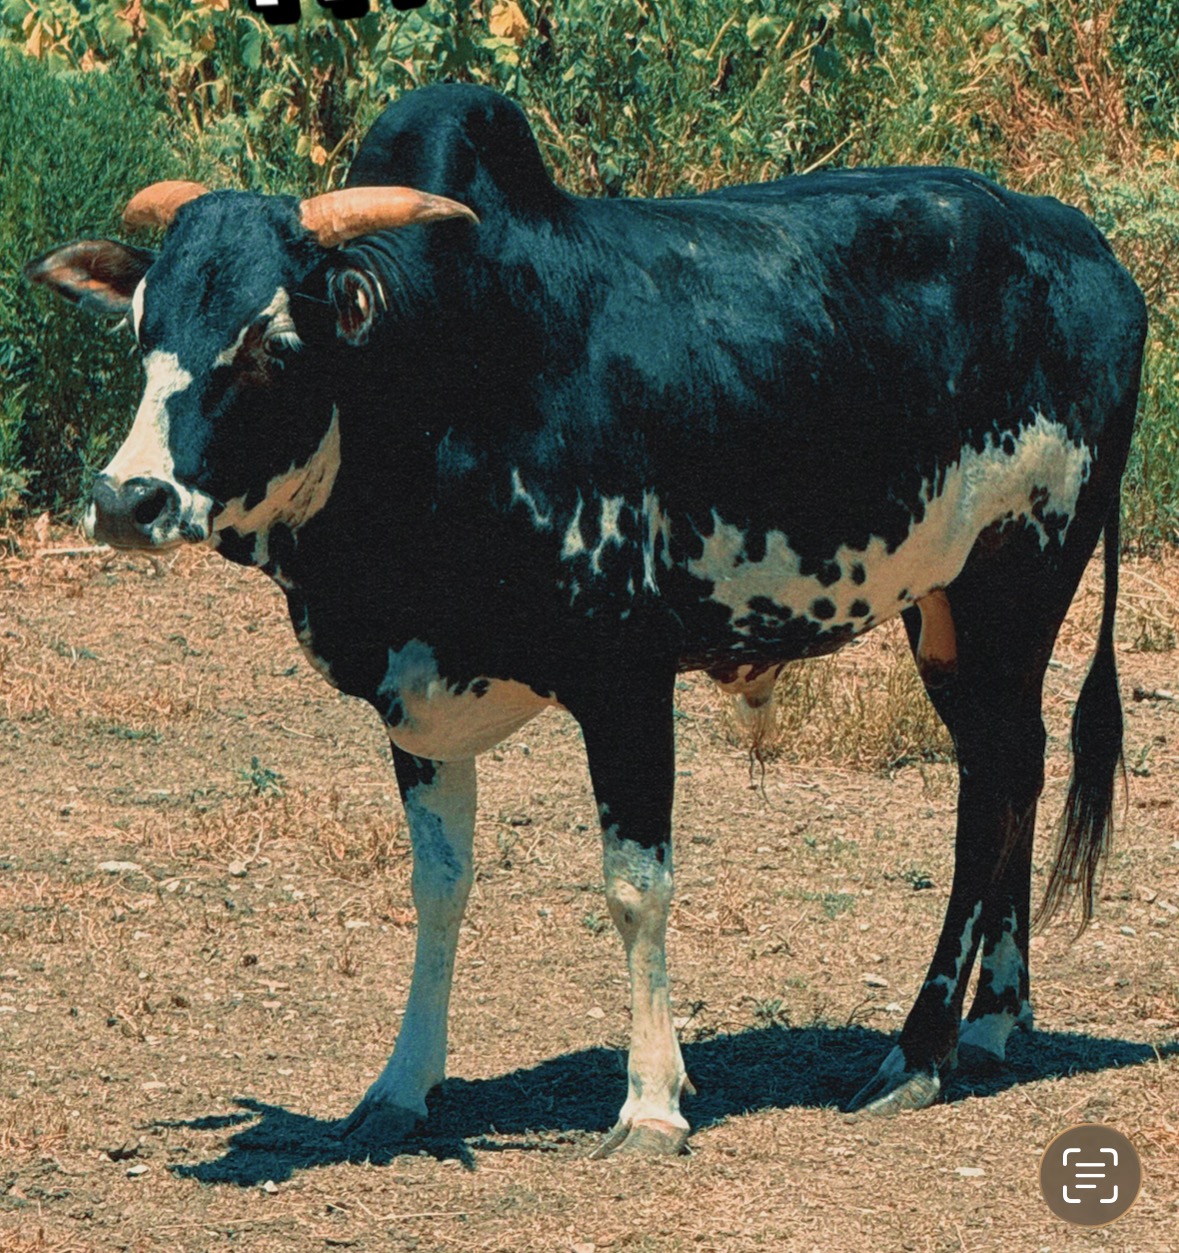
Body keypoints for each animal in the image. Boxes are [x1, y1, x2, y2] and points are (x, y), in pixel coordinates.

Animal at [27, 84, 1146, 1158]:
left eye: (271, 340)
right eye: (143, 331)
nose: (127, 499)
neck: (442, 380)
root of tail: (1089, 250)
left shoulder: (626, 681)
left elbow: (634, 886)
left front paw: (651, 1101)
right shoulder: (415, 700)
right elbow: (440, 886)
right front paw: (400, 1086)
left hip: (1017, 578)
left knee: (988, 795)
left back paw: (916, 1052)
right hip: (951, 612)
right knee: (1012, 764)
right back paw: (994, 1018)